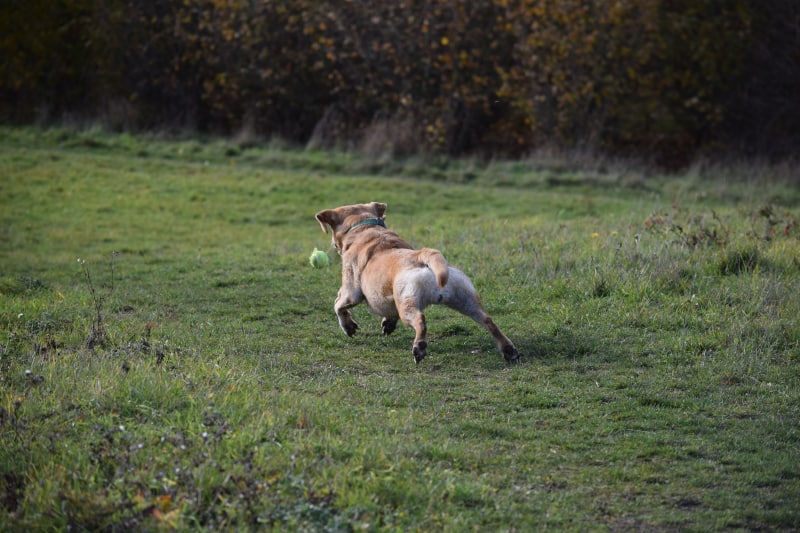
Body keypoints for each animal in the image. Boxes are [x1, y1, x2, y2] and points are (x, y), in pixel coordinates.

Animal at [312, 202, 520, 364]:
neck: (364, 229)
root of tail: (422, 255)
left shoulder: (351, 291)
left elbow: (338, 305)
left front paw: (348, 326)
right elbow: (388, 313)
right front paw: (388, 323)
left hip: (407, 302)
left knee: (420, 320)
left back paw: (419, 347)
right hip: (464, 298)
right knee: (488, 320)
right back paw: (508, 350)